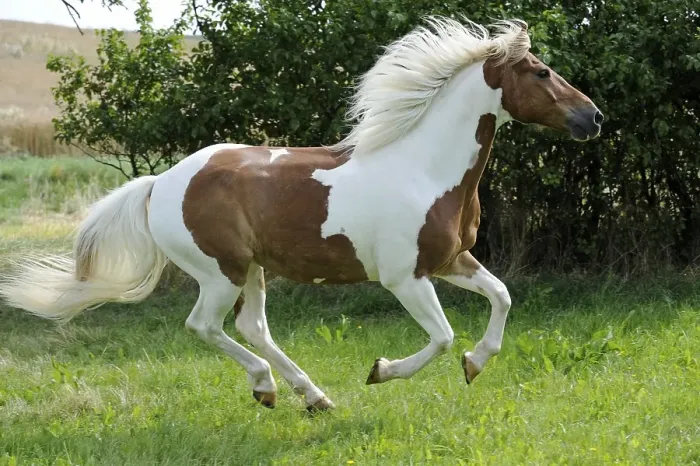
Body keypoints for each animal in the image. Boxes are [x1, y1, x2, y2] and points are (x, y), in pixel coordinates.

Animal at [0, 17, 603, 412]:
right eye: (542, 72)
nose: (593, 117)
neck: (424, 167)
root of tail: (159, 185)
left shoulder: (454, 260)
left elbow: (502, 297)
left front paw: (475, 365)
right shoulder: (405, 278)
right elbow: (442, 337)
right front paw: (381, 372)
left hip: (253, 269)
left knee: (251, 326)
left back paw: (313, 397)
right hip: (220, 271)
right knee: (206, 325)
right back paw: (269, 388)